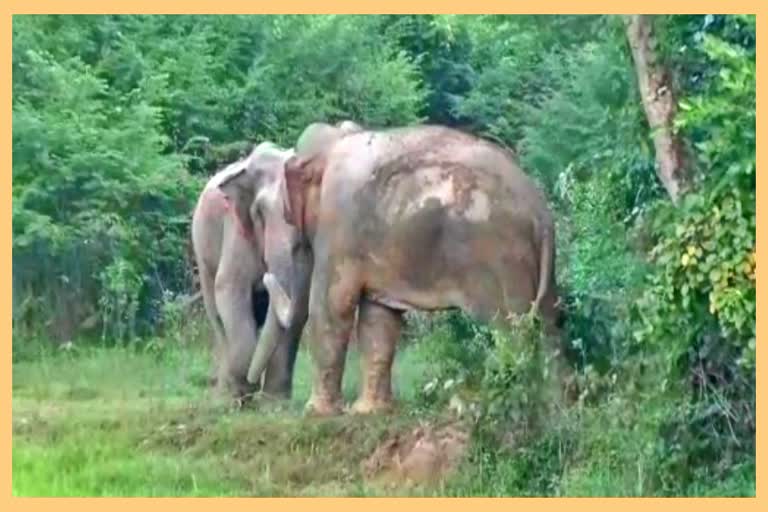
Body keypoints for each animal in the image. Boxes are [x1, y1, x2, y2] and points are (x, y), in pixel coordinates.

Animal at [190, 141, 300, 400]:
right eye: (259, 211)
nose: (267, 277)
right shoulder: (236, 227)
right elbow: (229, 287)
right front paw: (240, 392)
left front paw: (273, 401)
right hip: (202, 254)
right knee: (216, 315)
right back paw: (222, 393)